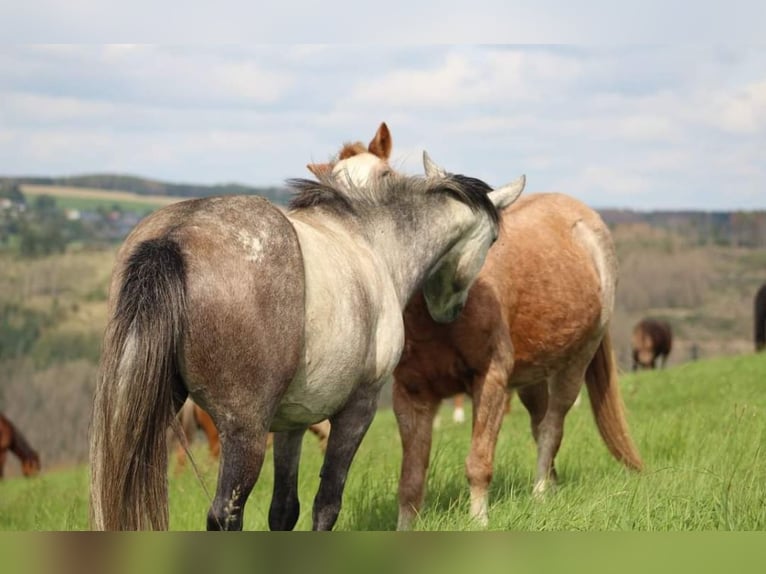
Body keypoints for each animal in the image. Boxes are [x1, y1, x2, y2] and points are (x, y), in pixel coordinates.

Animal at [87, 133, 524, 532]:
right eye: (494, 239)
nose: (449, 312)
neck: (370, 239)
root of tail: (174, 238)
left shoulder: (293, 422)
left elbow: (284, 510)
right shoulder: (358, 408)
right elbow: (326, 503)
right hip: (244, 433)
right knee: (225, 515)